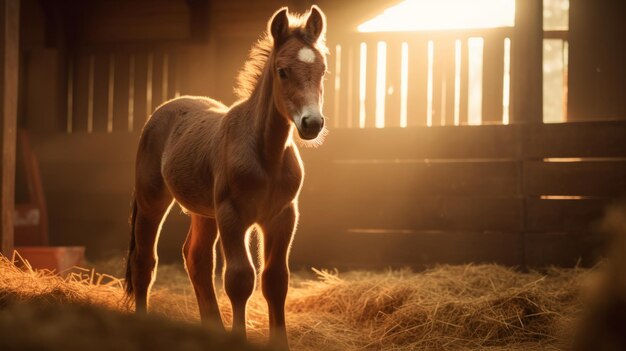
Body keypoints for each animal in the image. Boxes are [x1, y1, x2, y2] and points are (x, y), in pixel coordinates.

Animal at [122, 5, 326, 351]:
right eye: (282, 71)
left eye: (323, 70)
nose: (312, 123)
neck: (266, 155)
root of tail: (164, 108)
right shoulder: (233, 215)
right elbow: (240, 279)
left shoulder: (282, 217)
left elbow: (275, 280)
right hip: (152, 201)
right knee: (144, 262)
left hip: (204, 212)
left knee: (197, 259)